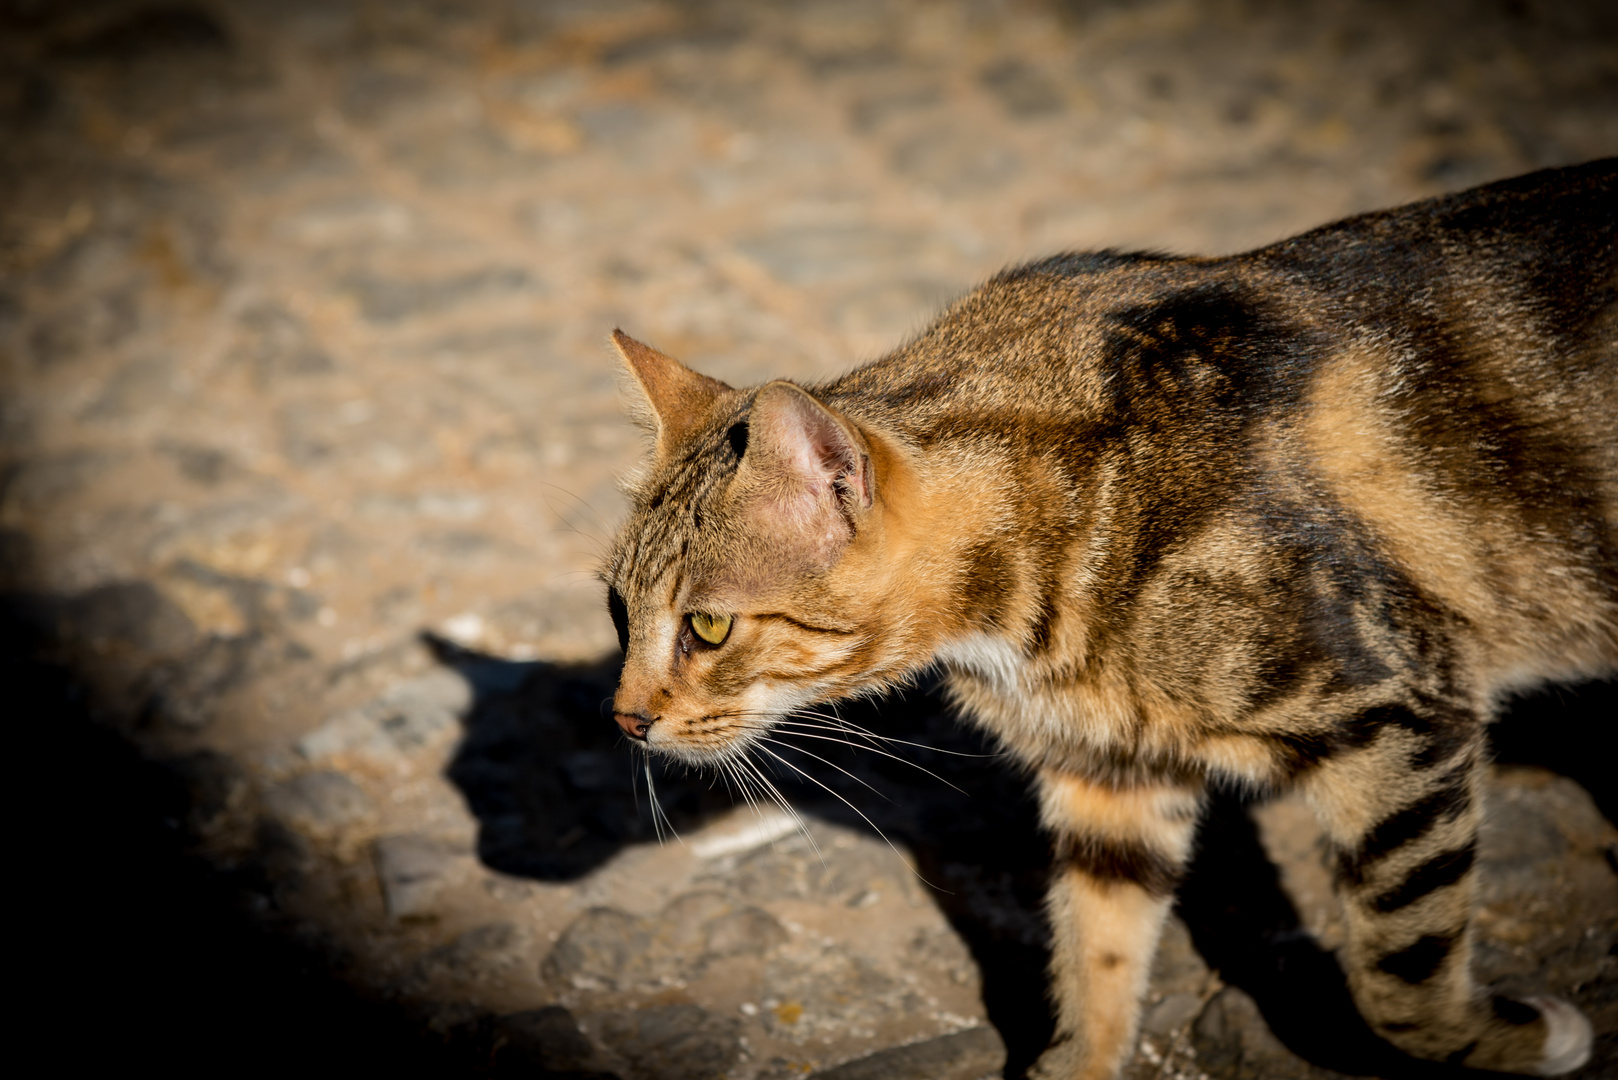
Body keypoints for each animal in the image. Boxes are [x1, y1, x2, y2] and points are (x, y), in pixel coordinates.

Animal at [601, 160, 1611, 1080]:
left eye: (708, 628)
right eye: (617, 609)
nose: (625, 719)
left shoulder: (1398, 715)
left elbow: (1399, 979)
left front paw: (1516, 1043)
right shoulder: (1111, 775)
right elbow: (1097, 954)